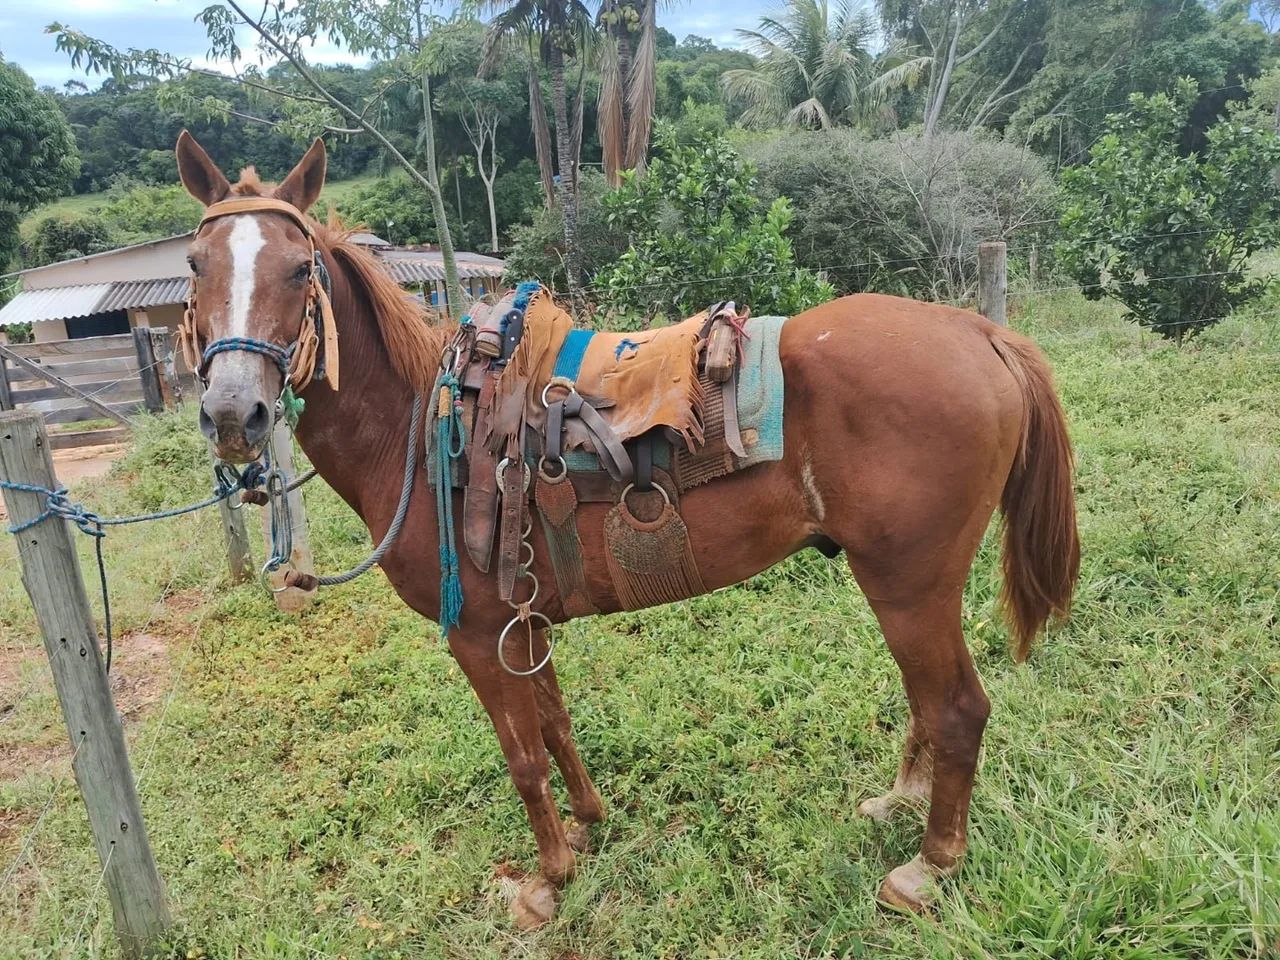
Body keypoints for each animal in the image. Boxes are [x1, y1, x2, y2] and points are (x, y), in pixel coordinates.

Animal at [175, 131, 1079, 926]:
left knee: (956, 707)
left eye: (300, 269)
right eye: (195, 266)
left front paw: (548, 880)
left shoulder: (475, 635)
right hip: (905, 586)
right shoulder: (523, 620)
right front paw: (588, 824)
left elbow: (521, 758)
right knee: (928, 703)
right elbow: (555, 727)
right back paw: (901, 803)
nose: (234, 414)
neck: (419, 432)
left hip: (909, 583)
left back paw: (930, 864)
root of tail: (979, 330)